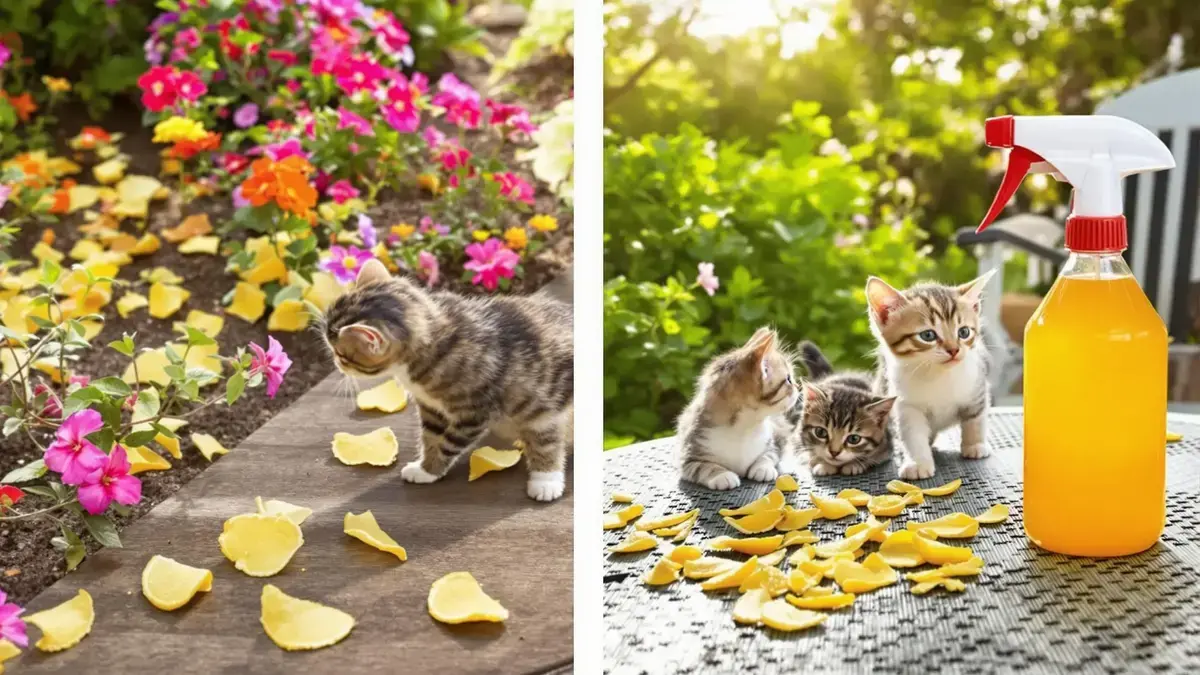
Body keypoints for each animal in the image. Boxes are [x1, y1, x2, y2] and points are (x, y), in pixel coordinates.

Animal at [321, 257, 573, 499]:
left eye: (342, 355)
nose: (336, 363)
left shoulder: (474, 412)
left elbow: (448, 443)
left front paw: (433, 467)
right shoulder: (431, 407)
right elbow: (431, 436)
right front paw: (425, 469)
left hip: (542, 402)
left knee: (545, 437)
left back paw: (546, 480)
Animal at [676, 326, 796, 487]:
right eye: (788, 379)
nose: (798, 386)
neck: (745, 428)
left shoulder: (773, 442)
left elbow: (769, 455)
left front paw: (763, 468)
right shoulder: (689, 457)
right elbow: (703, 466)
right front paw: (722, 475)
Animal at [792, 338, 897, 475]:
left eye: (854, 439)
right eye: (820, 432)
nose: (834, 452)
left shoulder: (886, 447)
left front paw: (855, 465)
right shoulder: (795, 441)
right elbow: (806, 453)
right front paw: (823, 463)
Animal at [868, 267, 998, 478]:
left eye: (964, 332)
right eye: (927, 335)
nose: (954, 350)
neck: (937, 374)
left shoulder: (977, 384)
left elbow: (975, 418)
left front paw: (975, 445)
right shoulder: (905, 404)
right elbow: (912, 434)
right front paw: (918, 462)